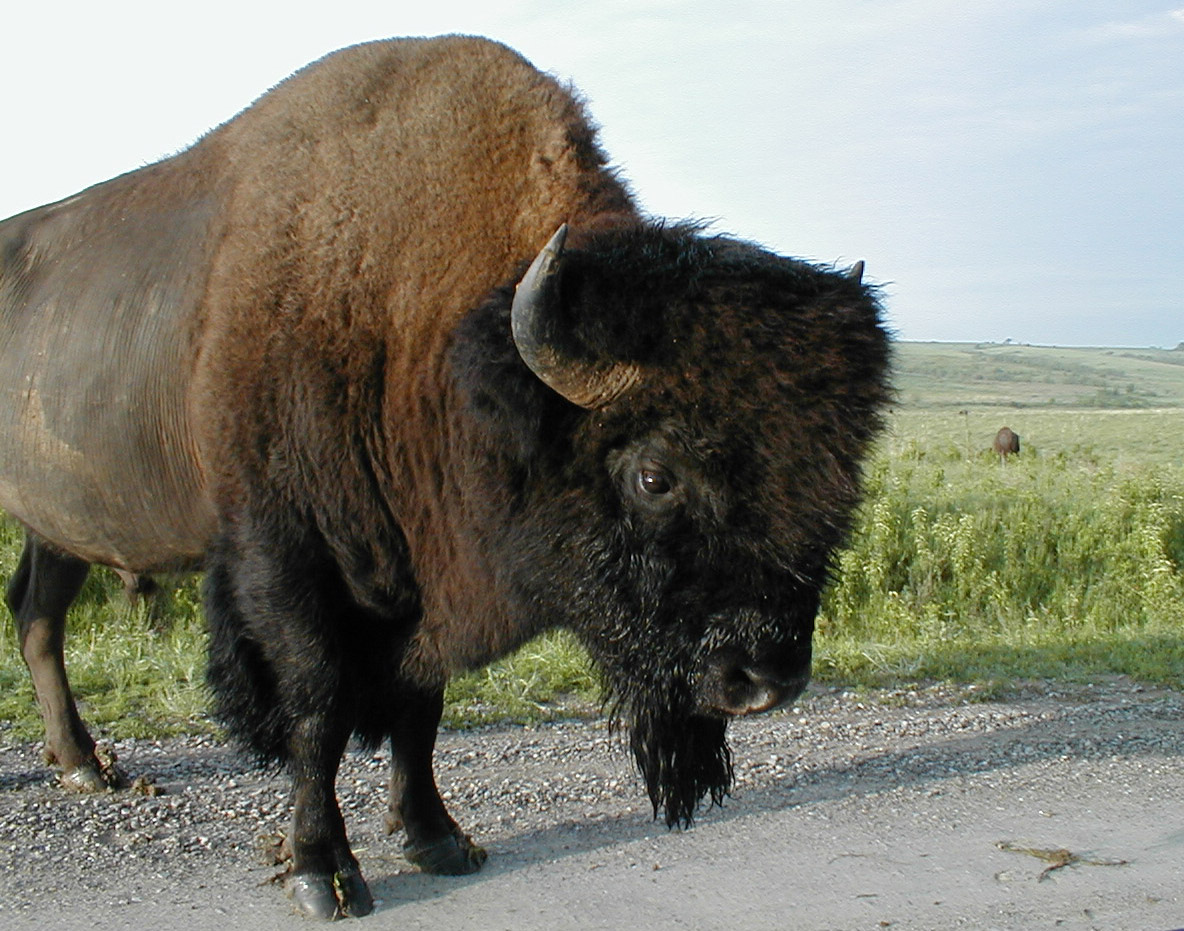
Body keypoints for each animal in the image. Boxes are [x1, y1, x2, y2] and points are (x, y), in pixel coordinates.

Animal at [0, 36, 891, 918]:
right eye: (654, 475)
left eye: (837, 473)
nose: (766, 680)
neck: (422, 329)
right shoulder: (283, 559)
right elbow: (317, 707)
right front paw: (321, 872)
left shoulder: (424, 581)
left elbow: (417, 707)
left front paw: (439, 839)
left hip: (60, 527)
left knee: (38, 617)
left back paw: (85, 765)